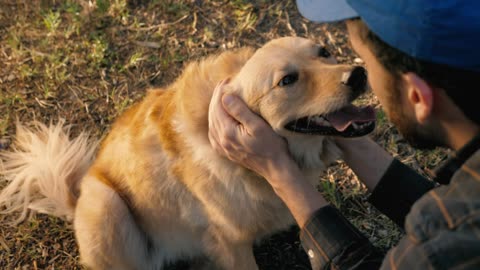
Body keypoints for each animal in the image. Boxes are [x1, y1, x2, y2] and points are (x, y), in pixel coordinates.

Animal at [0, 36, 376, 270]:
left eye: (324, 51)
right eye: (286, 81)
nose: (359, 74)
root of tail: (74, 201)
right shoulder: (232, 244)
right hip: (105, 203)